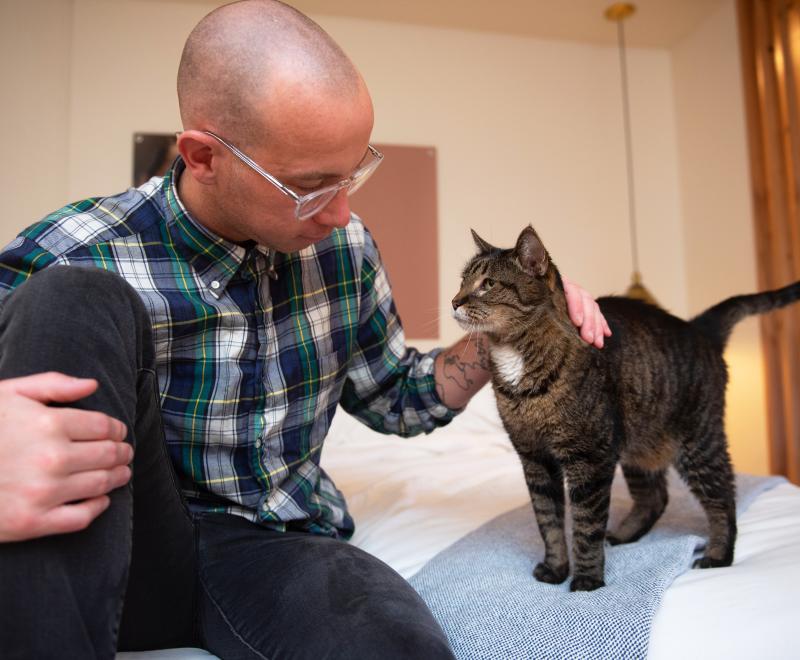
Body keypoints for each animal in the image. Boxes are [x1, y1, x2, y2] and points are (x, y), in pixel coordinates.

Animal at [454, 224, 796, 592]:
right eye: (462, 281)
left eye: (487, 284)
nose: (454, 301)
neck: (515, 359)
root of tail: (698, 327)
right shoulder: (534, 459)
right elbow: (549, 521)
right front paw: (556, 568)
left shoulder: (590, 457)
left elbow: (586, 525)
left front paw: (587, 580)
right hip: (638, 447)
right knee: (655, 497)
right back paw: (623, 535)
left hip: (700, 442)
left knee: (722, 495)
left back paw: (718, 555)